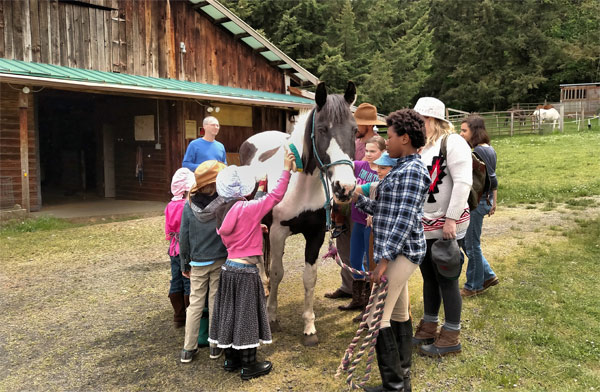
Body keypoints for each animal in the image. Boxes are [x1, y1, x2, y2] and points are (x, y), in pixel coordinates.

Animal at [238, 81, 356, 344]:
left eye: (355, 130)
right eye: (322, 129)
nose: (345, 187)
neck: (301, 186)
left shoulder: (315, 235)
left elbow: (309, 279)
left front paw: (309, 327)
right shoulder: (277, 232)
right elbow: (277, 272)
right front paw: (271, 316)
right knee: (260, 258)